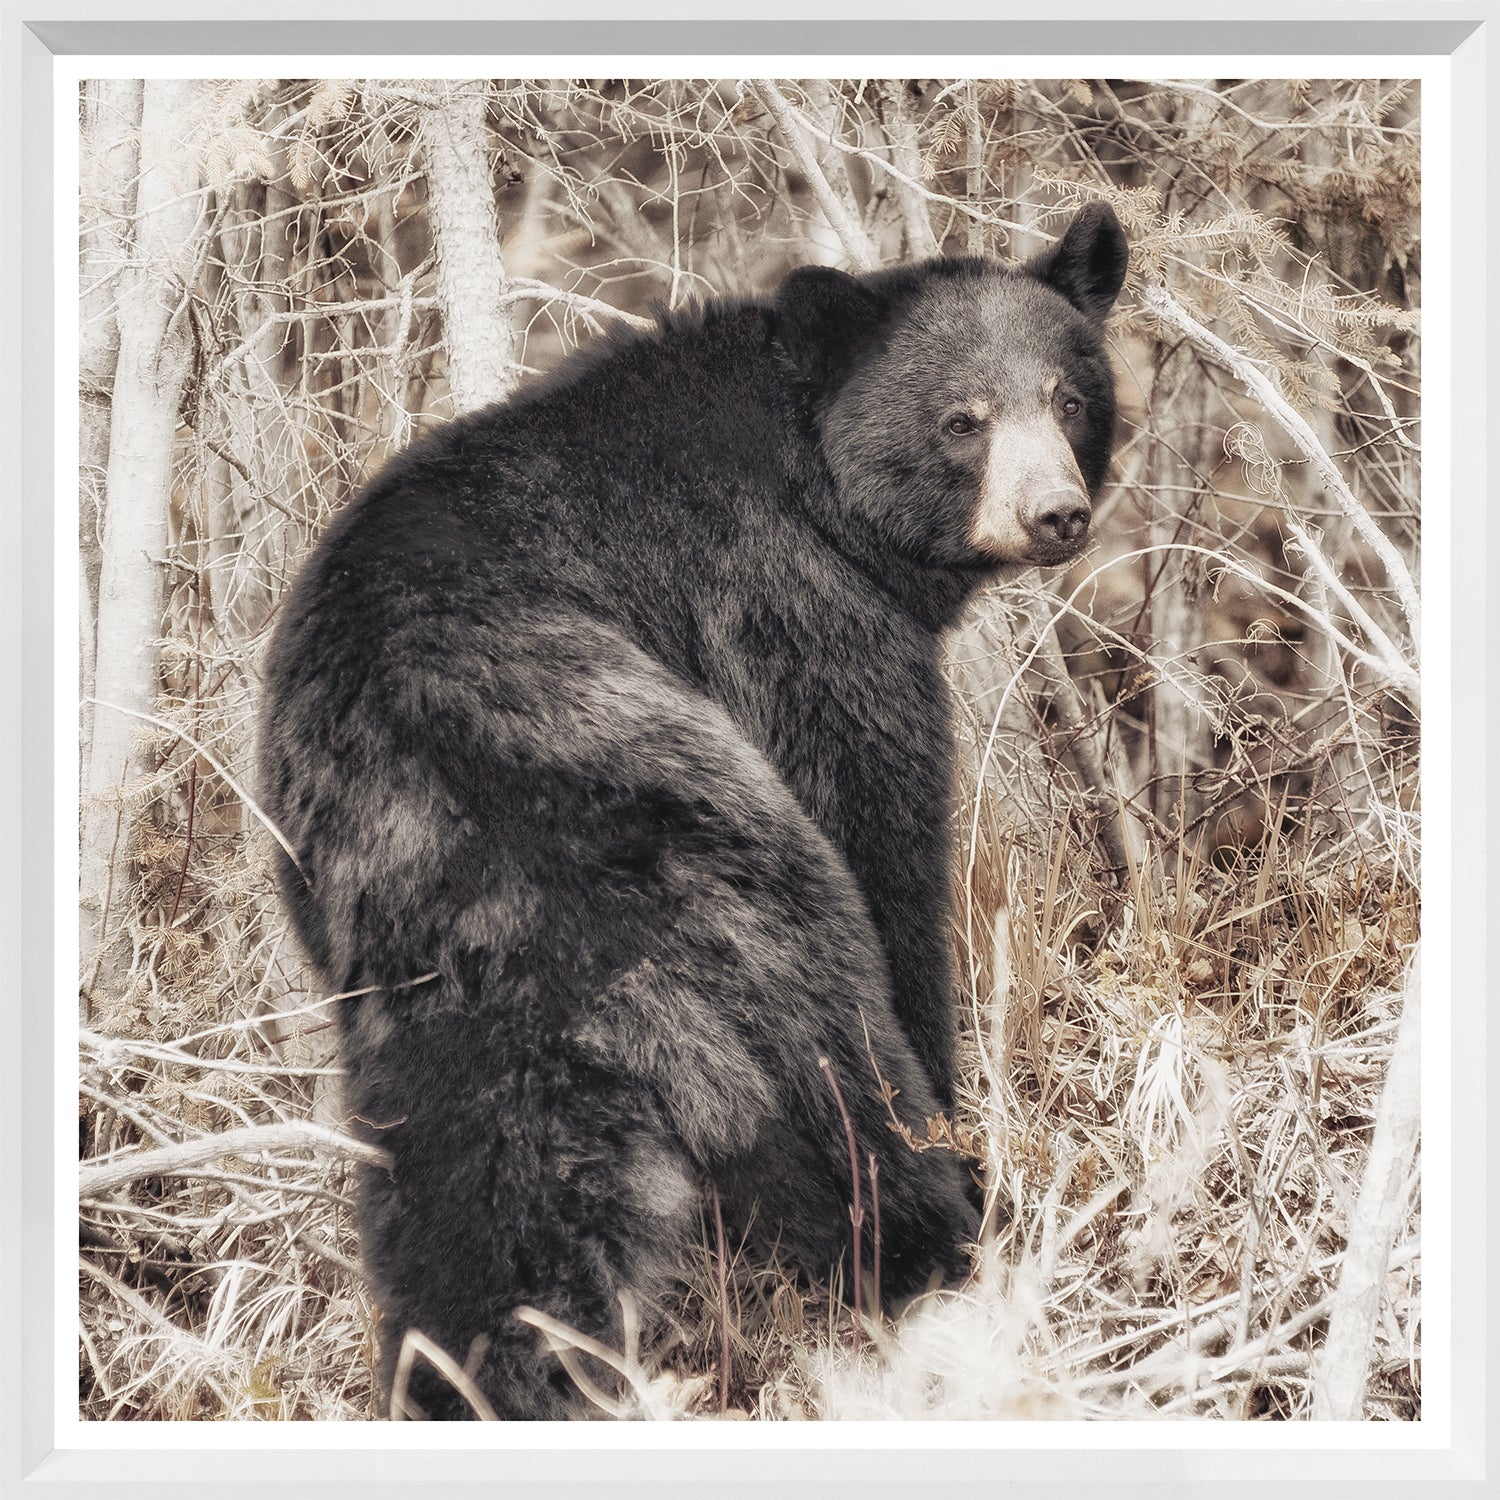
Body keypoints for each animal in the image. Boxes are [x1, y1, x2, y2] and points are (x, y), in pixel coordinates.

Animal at [257, 201, 1128, 1420]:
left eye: (1067, 397)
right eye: (964, 419)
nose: (1054, 514)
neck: (820, 480)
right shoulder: (790, 609)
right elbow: (880, 826)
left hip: (414, 979)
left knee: (476, 1194)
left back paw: (471, 1379)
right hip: (720, 869)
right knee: (827, 1063)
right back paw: (940, 1236)